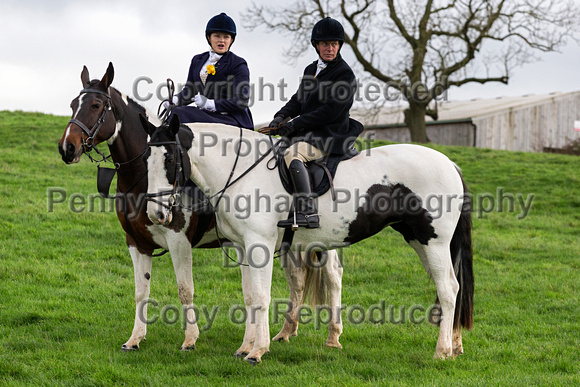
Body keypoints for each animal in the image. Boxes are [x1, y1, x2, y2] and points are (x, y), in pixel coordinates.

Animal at [143, 116, 474, 366]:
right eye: (146, 159)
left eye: (169, 158)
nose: (155, 213)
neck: (241, 173)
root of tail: (451, 165)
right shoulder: (243, 248)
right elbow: (250, 298)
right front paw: (245, 347)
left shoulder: (260, 246)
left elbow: (261, 297)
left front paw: (258, 351)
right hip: (420, 241)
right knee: (453, 286)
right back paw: (455, 346)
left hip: (434, 242)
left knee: (447, 289)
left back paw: (442, 351)